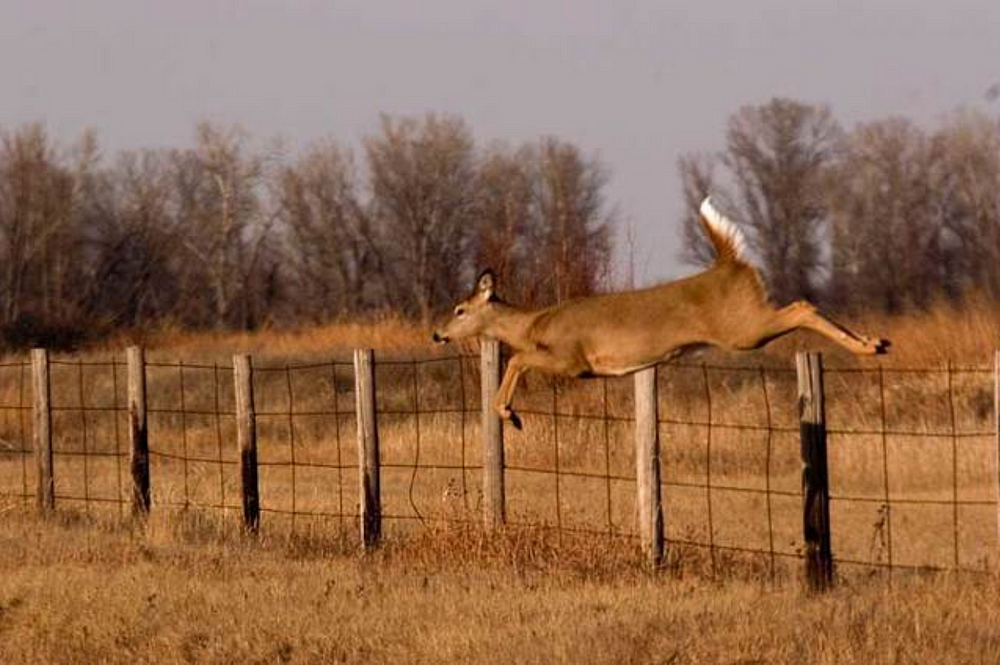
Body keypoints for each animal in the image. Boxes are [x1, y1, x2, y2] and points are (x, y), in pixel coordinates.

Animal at [434, 197, 888, 428]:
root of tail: (729, 265)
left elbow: (518, 359)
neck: (534, 323)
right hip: (747, 322)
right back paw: (876, 341)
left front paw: (508, 414)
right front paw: (509, 413)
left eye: (459, 309)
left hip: (743, 327)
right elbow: (518, 359)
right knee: (803, 304)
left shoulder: (572, 360)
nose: (437, 333)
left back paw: (867, 347)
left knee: (801, 305)